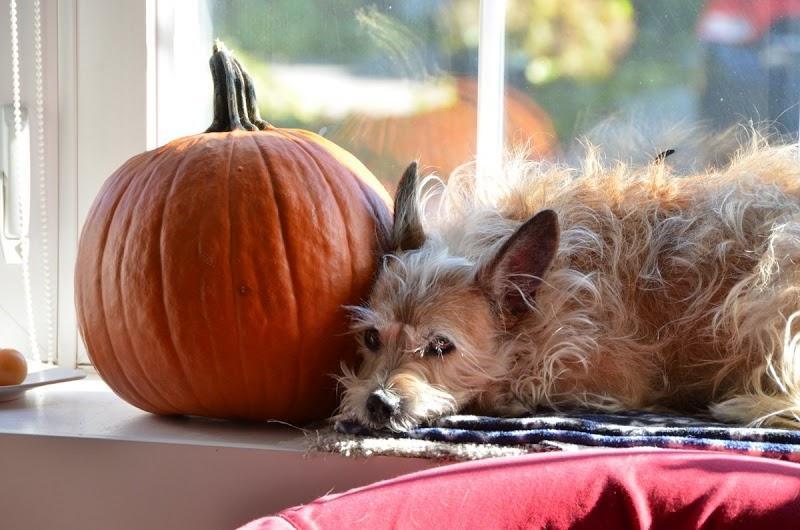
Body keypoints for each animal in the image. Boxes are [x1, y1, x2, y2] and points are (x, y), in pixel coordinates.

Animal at [338, 135, 800, 431]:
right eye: (372, 339)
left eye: (440, 346)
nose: (379, 402)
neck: (544, 289)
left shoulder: (610, 377)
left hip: (770, 279)